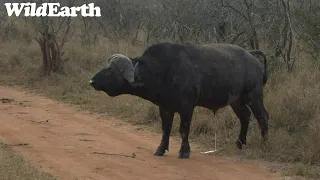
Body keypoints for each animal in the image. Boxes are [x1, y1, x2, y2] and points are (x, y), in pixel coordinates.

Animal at [89, 42, 268, 159]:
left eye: (110, 70)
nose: (92, 81)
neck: (163, 71)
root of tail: (251, 56)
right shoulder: (165, 108)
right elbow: (166, 129)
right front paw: (161, 149)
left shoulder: (187, 107)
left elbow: (183, 130)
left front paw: (184, 151)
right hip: (236, 101)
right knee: (245, 116)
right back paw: (240, 143)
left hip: (254, 96)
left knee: (262, 117)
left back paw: (264, 144)